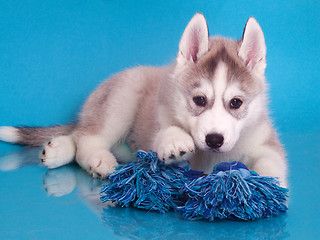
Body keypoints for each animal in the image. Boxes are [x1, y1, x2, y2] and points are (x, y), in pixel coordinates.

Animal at [0, 14, 288, 188]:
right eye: (199, 99)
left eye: (236, 103)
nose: (214, 139)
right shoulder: (158, 117)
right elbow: (166, 132)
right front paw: (174, 140)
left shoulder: (265, 142)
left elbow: (272, 162)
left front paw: (270, 185)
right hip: (124, 96)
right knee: (86, 137)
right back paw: (97, 159)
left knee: (79, 133)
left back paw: (57, 149)